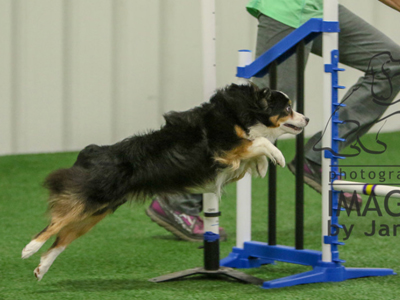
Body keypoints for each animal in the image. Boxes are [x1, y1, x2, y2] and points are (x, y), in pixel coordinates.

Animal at [21, 83, 310, 280]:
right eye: (287, 109)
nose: (307, 118)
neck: (247, 111)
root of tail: (93, 152)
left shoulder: (230, 161)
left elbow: (257, 148)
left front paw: (263, 165)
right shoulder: (224, 149)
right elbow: (259, 141)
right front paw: (277, 157)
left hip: (98, 209)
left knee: (63, 236)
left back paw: (41, 267)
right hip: (93, 197)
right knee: (56, 223)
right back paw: (28, 249)